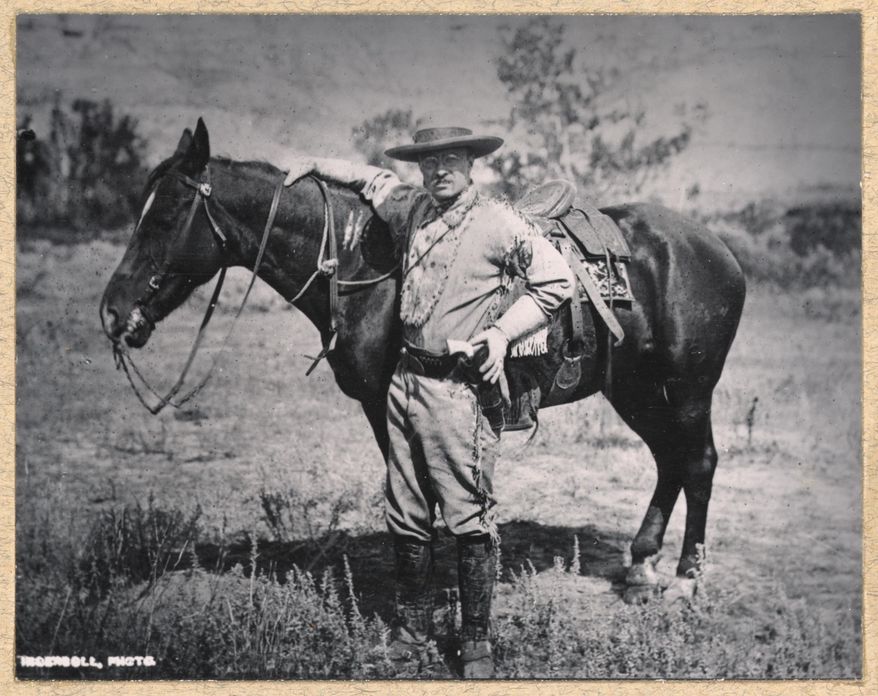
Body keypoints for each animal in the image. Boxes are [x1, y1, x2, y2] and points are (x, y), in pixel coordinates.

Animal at [103, 119, 748, 604]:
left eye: (165, 216)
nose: (113, 311)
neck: (361, 263)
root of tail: (717, 249)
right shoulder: (385, 406)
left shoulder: (392, 402)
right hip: (635, 389)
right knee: (668, 460)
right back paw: (640, 568)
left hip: (688, 388)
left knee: (699, 462)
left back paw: (686, 579)